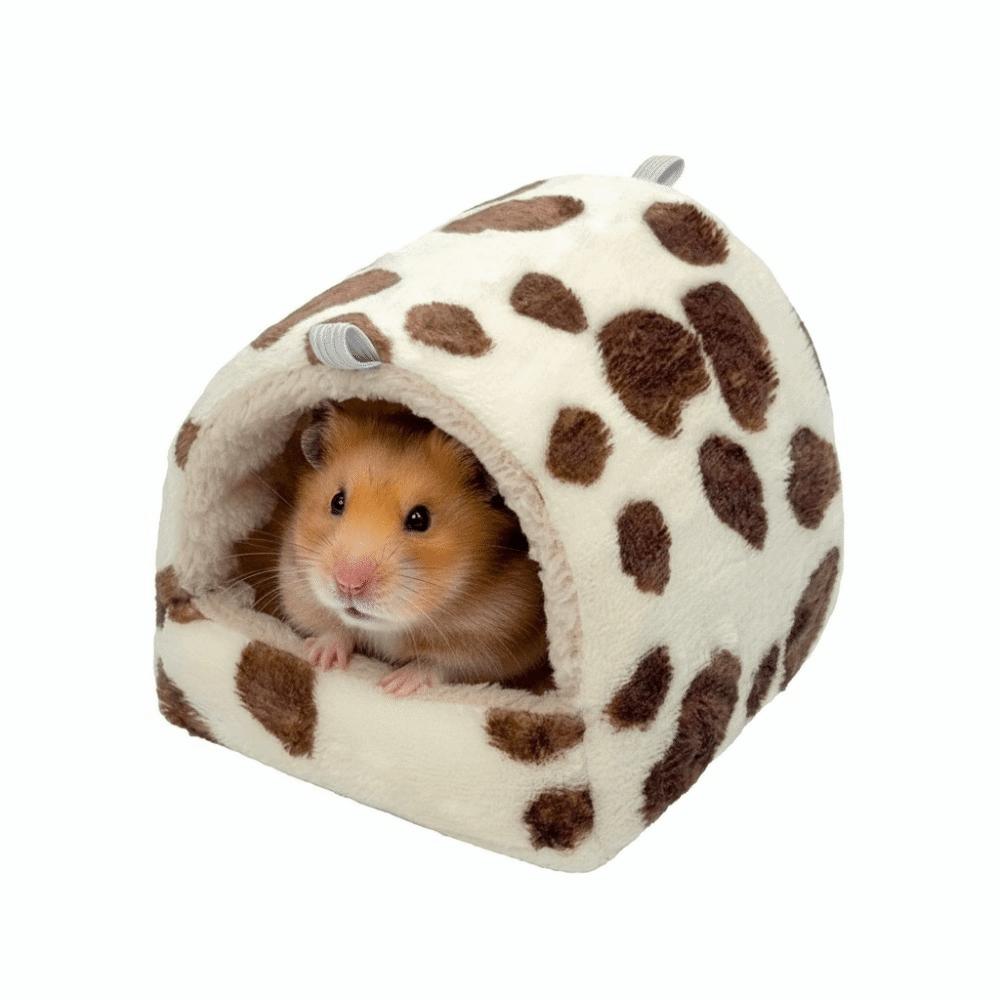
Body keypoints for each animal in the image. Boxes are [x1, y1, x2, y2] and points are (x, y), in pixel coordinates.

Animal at [278, 400, 548, 696]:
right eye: (337, 501)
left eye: (420, 519)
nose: (349, 584)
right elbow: (335, 629)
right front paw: (319, 656)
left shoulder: (495, 642)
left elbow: (440, 665)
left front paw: (393, 686)